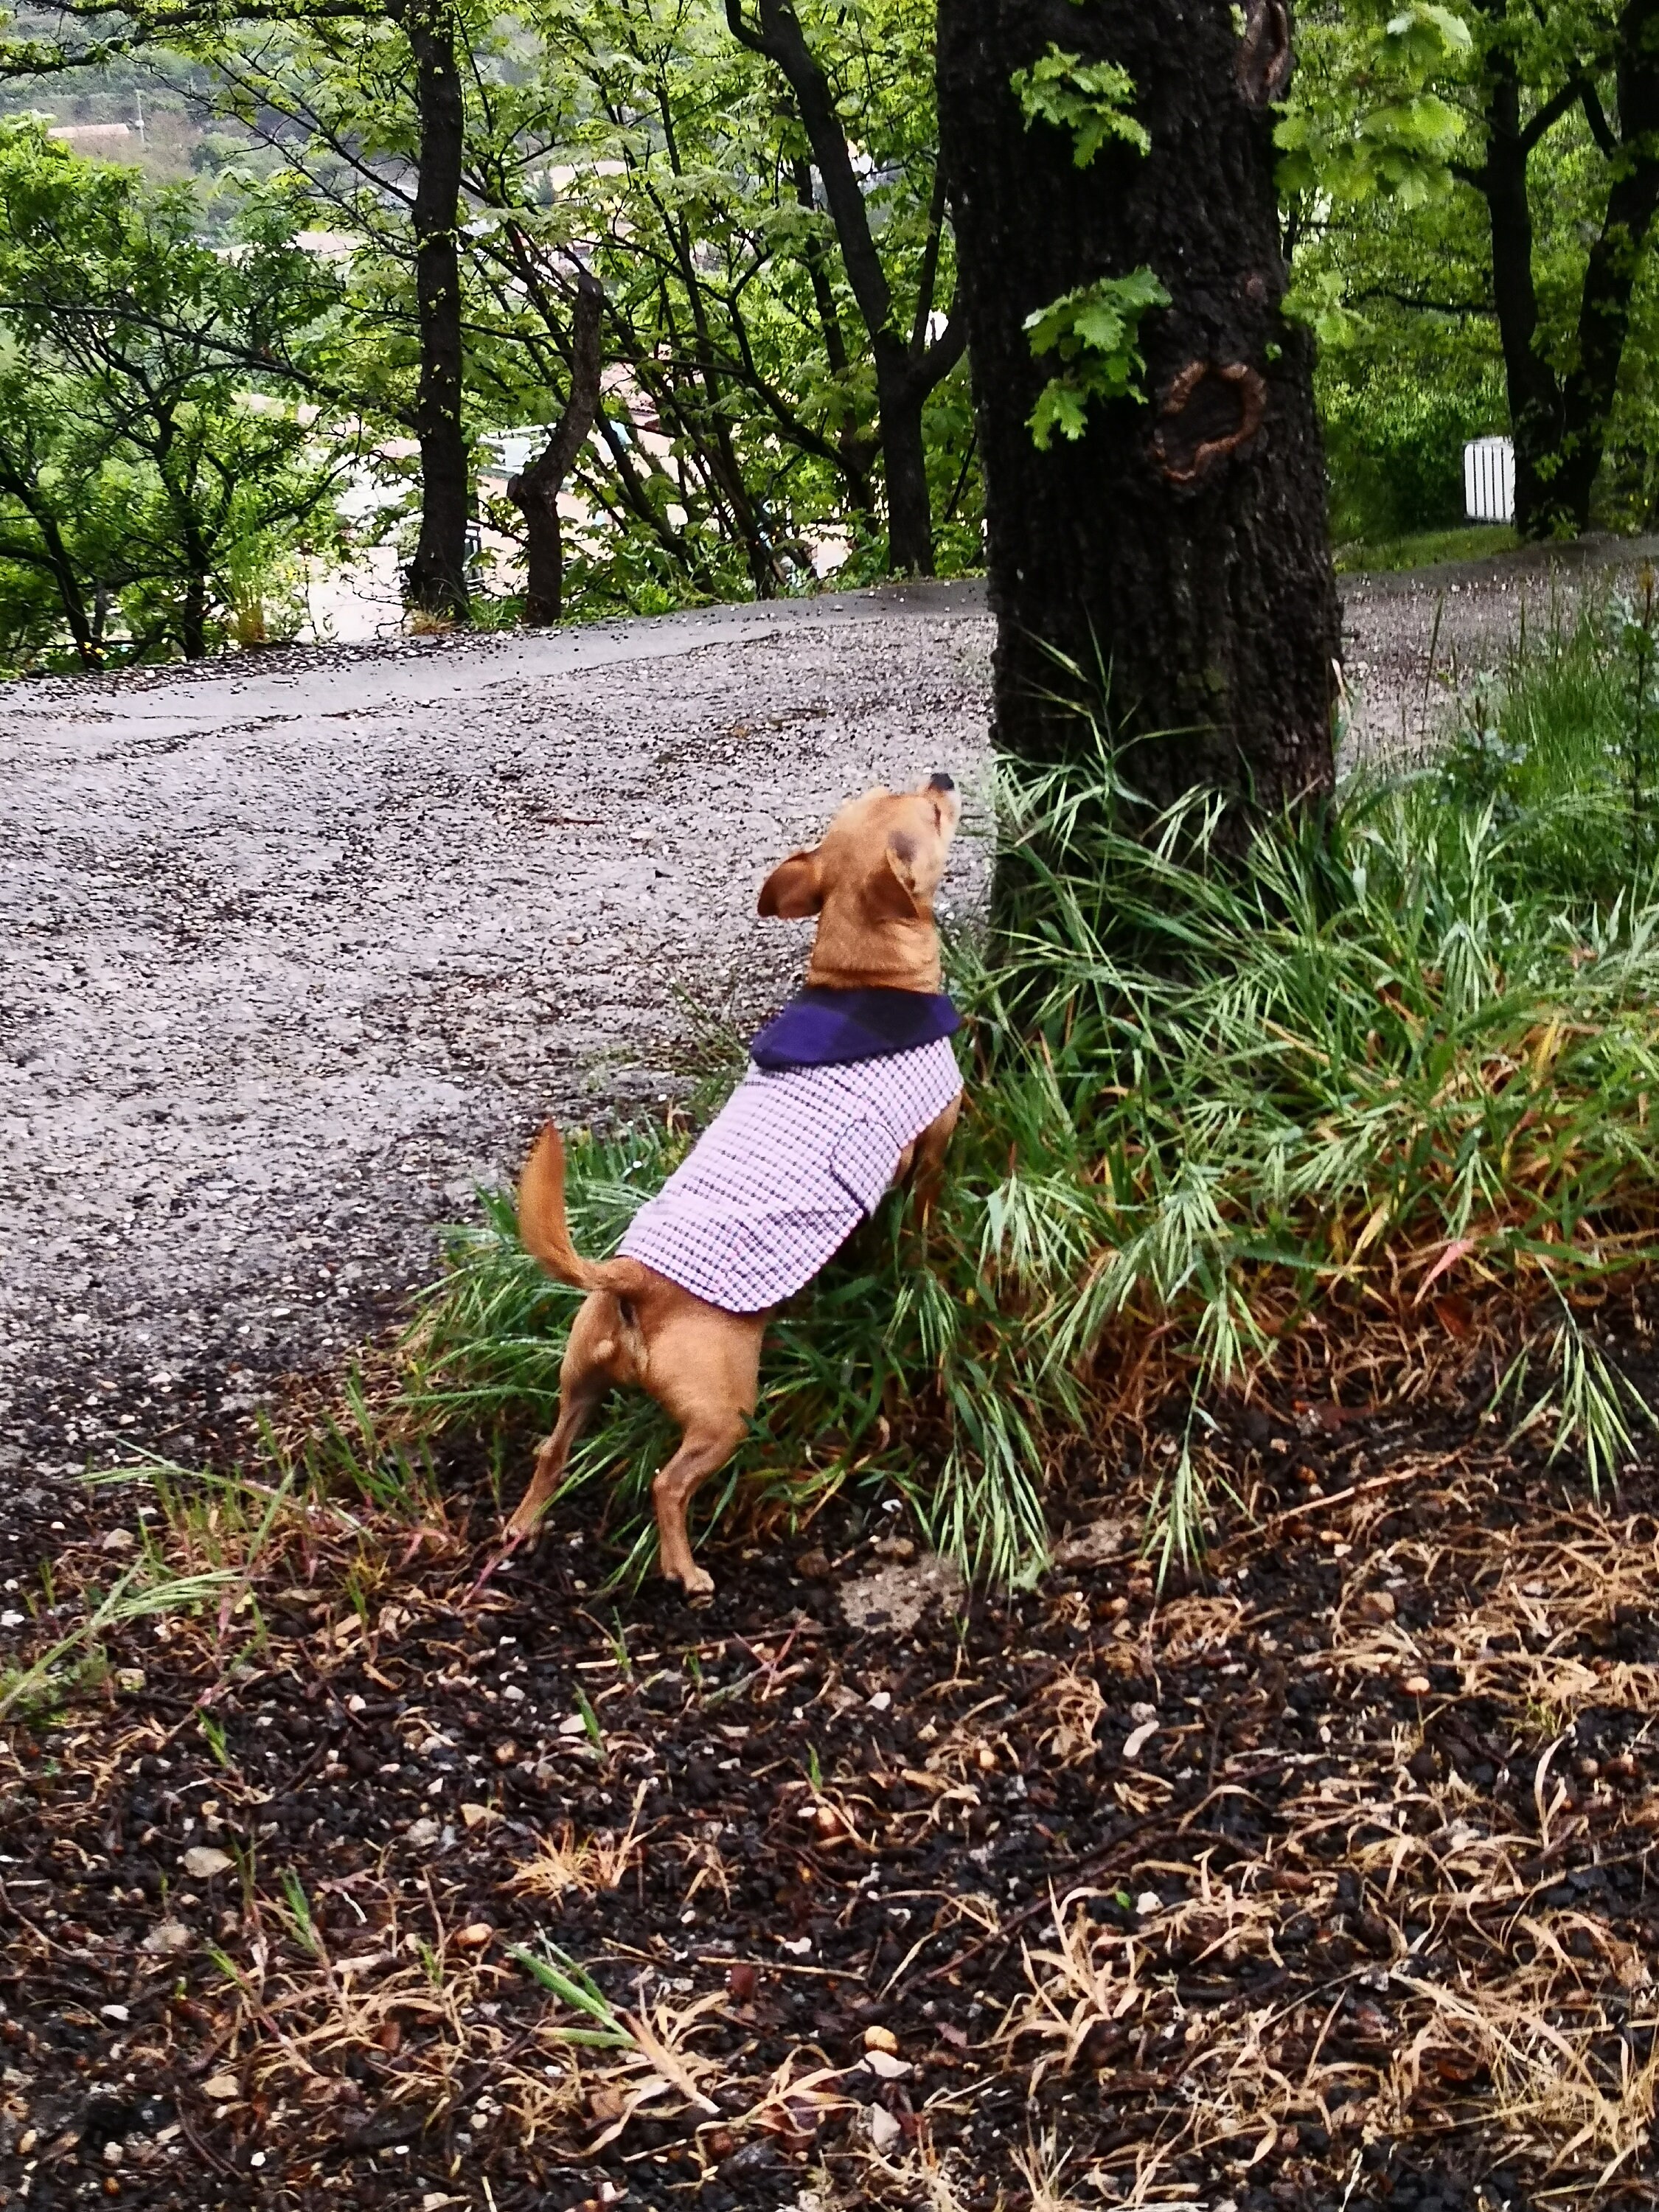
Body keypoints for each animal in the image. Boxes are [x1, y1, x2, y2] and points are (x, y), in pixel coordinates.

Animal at [513, 779, 969, 1593]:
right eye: (929, 811)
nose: (943, 778)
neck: (866, 981)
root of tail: (632, 1281)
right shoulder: (934, 1142)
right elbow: (921, 1211)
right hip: (723, 1413)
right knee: (667, 1484)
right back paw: (685, 1571)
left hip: (580, 1382)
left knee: (550, 1450)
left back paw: (523, 1525)